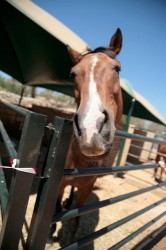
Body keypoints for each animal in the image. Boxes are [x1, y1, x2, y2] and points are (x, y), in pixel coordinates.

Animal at [49, 27, 123, 240]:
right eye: (72, 74)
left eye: (117, 69)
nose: (91, 129)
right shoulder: (58, 185)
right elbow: (55, 210)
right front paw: (51, 233)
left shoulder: (87, 188)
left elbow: (76, 216)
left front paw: (72, 236)